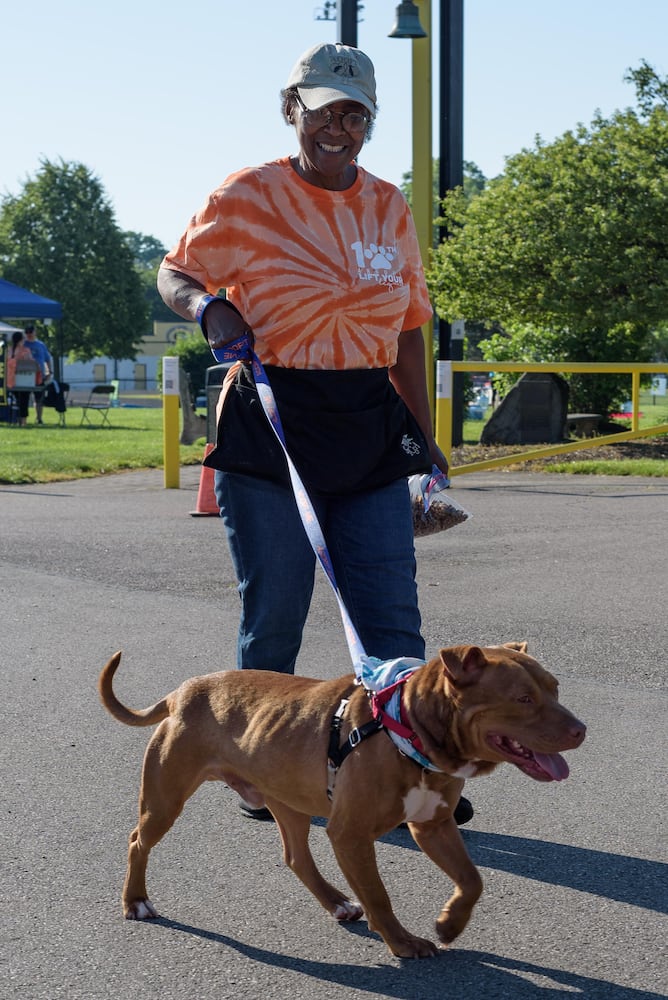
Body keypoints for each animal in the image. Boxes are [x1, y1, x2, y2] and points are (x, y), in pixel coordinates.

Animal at [98, 644, 584, 956]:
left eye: (556, 689)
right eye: (523, 698)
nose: (581, 730)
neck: (406, 728)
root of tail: (183, 691)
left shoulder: (433, 825)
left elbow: (472, 879)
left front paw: (450, 923)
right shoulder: (351, 835)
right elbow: (379, 895)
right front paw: (402, 943)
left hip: (288, 799)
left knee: (296, 856)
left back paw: (337, 902)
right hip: (166, 798)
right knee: (138, 841)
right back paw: (135, 901)